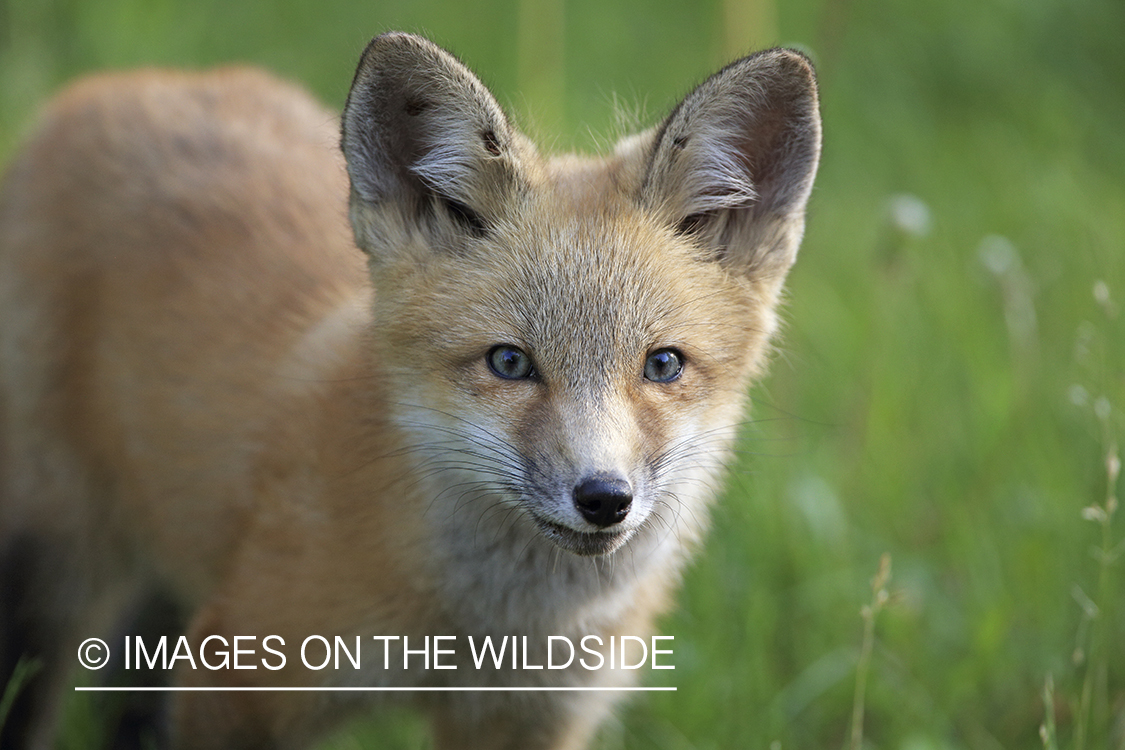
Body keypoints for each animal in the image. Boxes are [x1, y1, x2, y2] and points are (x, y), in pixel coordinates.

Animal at [0, 31, 820, 750]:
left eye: (662, 365)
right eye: (509, 363)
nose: (603, 498)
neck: (481, 634)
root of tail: (125, 83)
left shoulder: (527, 720)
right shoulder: (232, 681)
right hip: (51, 573)